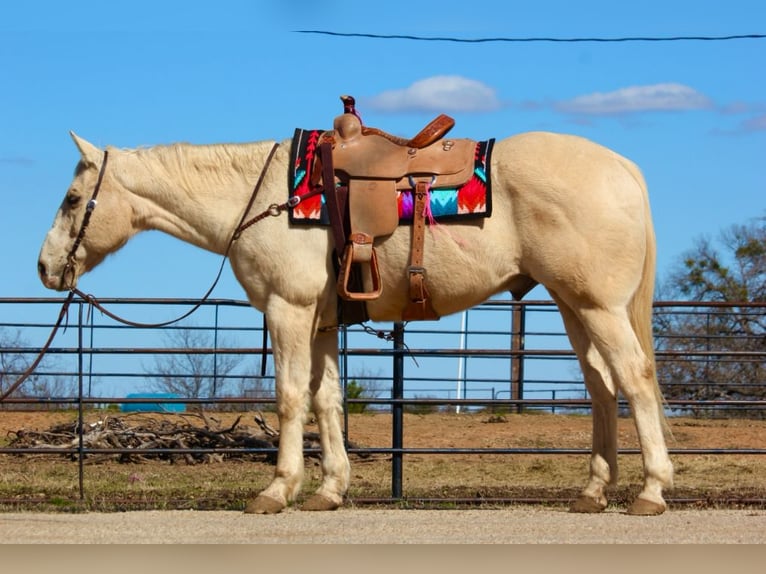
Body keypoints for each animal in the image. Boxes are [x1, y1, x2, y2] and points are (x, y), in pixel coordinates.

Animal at [39, 127, 676, 516]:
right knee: (602, 388)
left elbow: (290, 399)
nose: (45, 268)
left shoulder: (289, 311)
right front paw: (329, 491)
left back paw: (651, 490)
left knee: (635, 378)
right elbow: (327, 403)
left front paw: (277, 490)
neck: (266, 200)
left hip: (598, 306)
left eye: (71, 199)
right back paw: (593, 492)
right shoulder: (322, 323)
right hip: (574, 306)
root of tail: (621, 167)